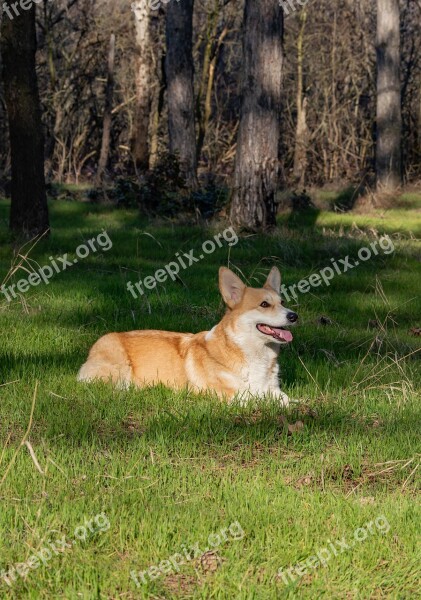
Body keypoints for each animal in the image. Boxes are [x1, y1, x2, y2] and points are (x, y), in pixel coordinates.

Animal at [77, 268, 296, 406]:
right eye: (264, 304)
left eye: (283, 302)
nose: (294, 316)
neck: (255, 353)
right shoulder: (232, 396)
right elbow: (258, 400)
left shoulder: (273, 390)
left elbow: (285, 399)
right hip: (119, 370)